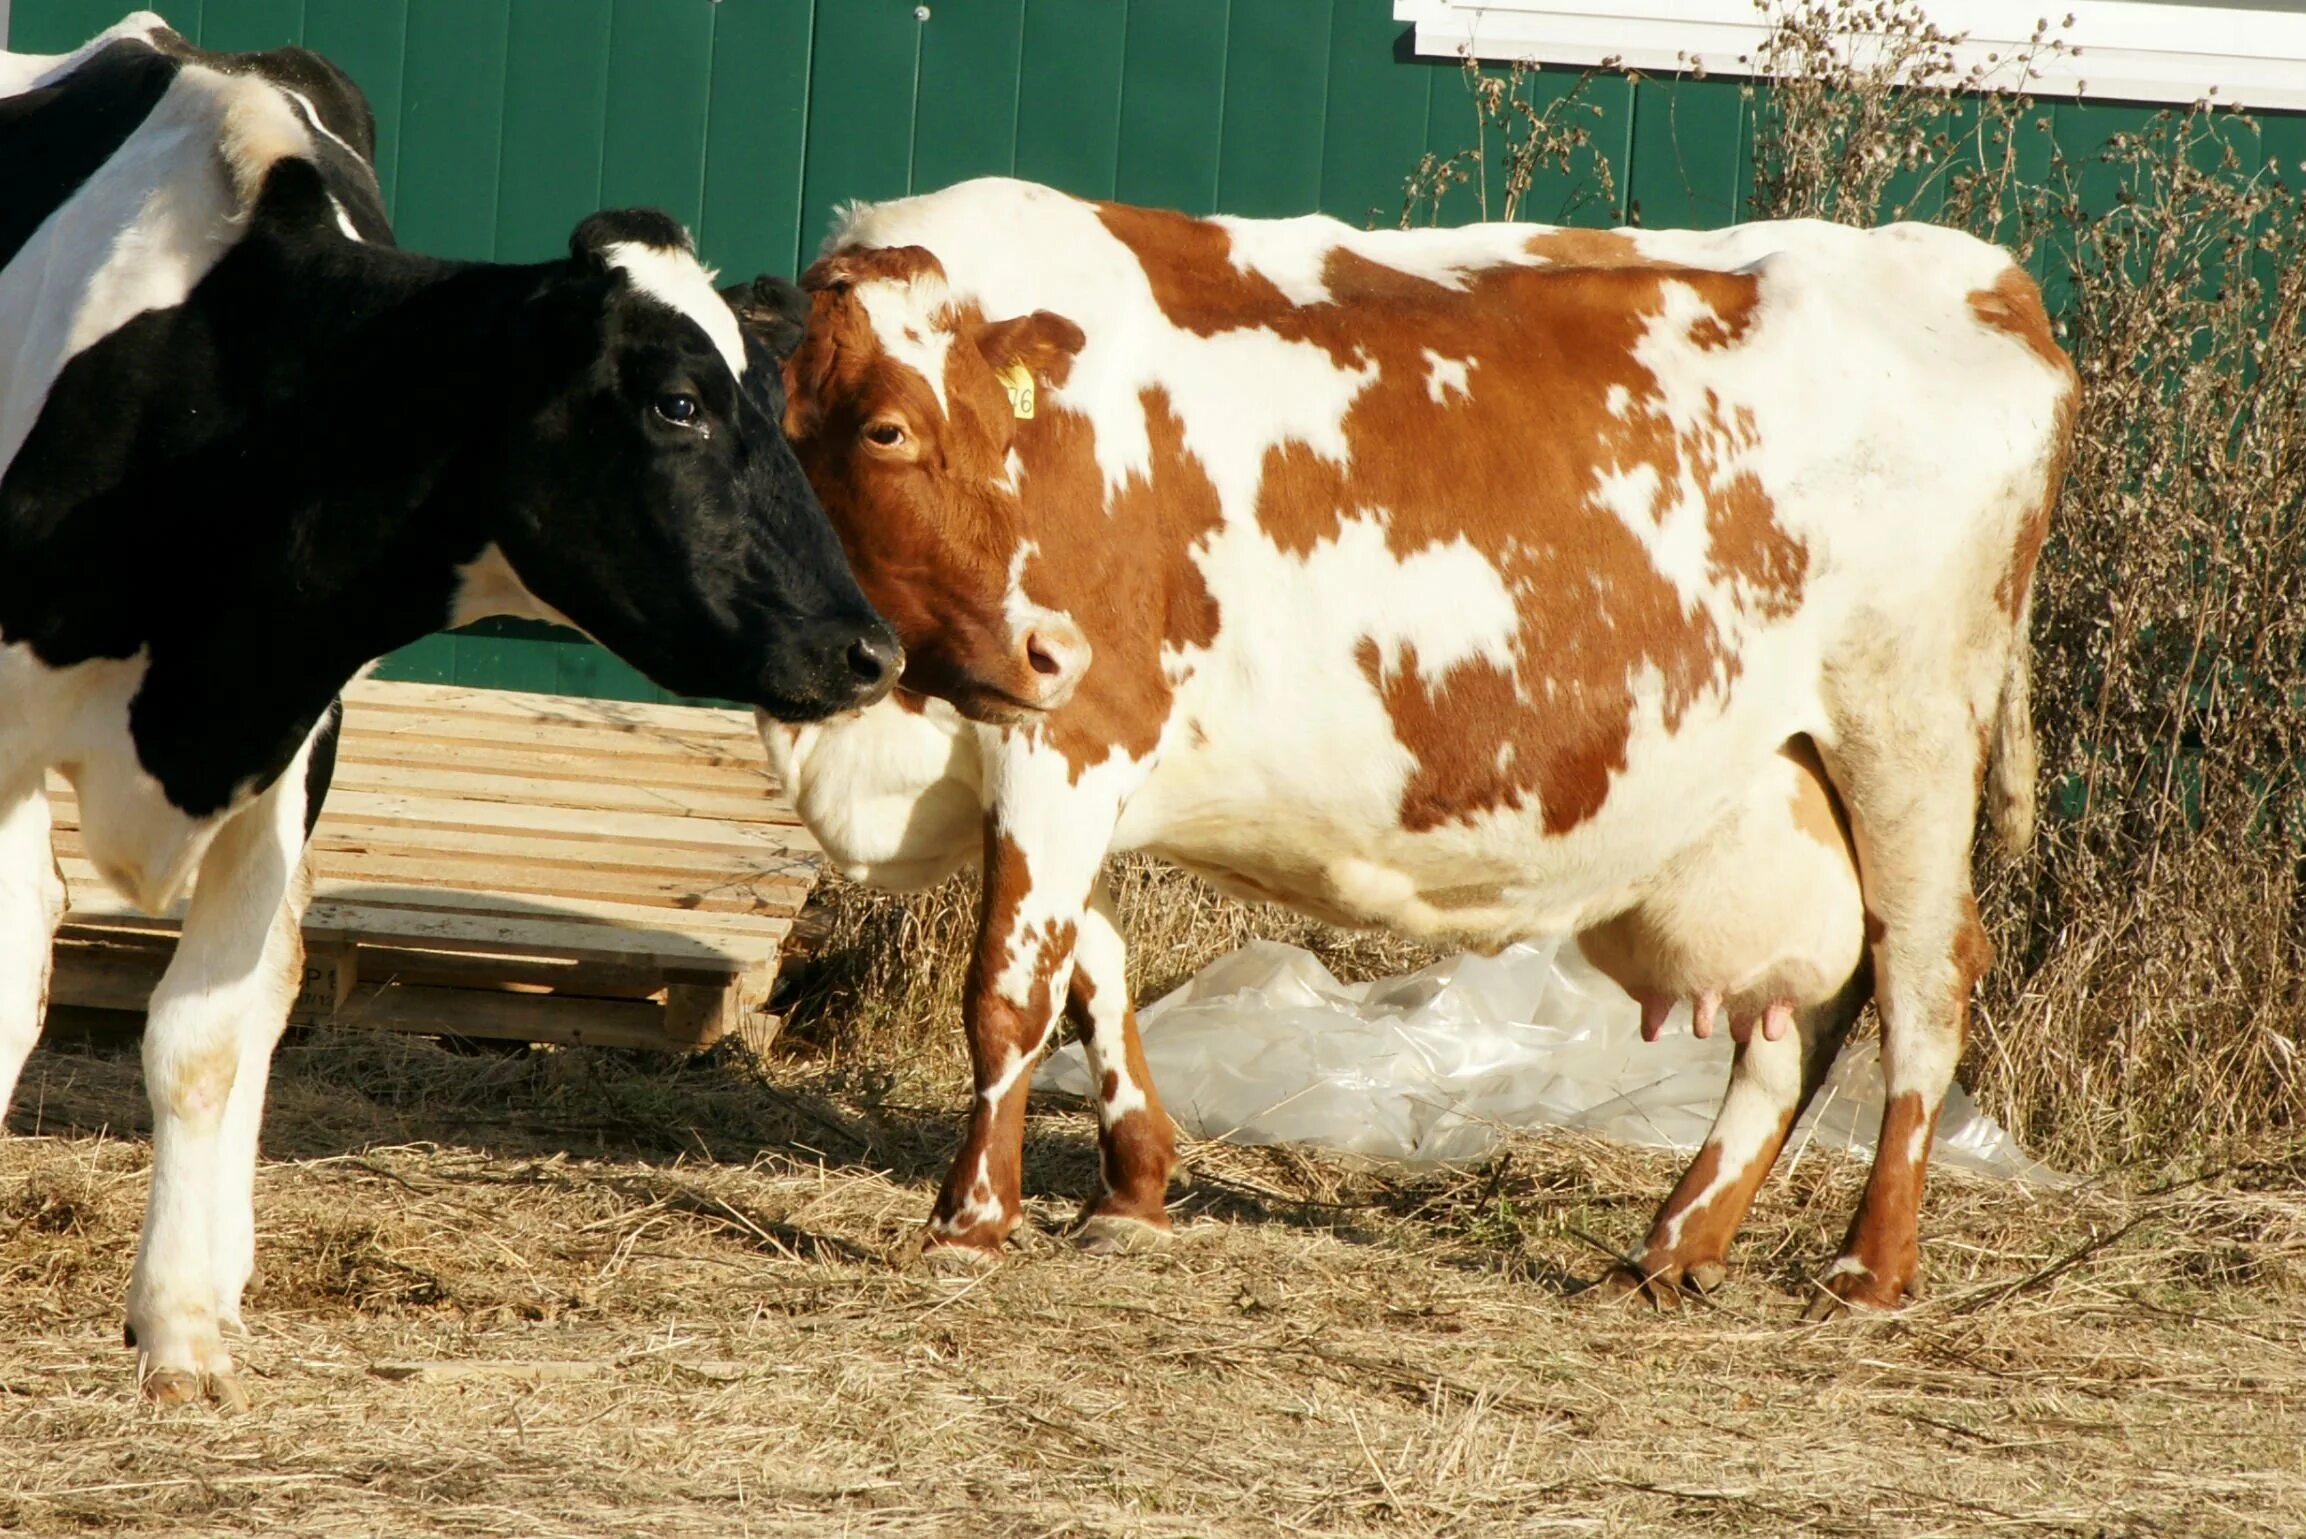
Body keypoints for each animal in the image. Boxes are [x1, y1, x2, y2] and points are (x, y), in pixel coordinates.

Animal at [0, 15, 899, 1412]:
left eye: (780, 408)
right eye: (677, 403)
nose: (867, 652)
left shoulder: (292, 746)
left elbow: (207, 1030)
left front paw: (183, 1329)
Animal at [760, 181, 2075, 1310]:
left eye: (994, 432)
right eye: (888, 430)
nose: (1045, 646)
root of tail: (1983, 275)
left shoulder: (1071, 729)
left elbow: (1010, 986)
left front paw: (969, 1220)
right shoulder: (1037, 751)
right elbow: (1096, 966)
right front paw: (1131, 1193)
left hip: (1908, 729)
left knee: (1921, 974)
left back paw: (1865, 1269)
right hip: (1792, 774)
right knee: (1800, 1011)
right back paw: (1670, 1246)